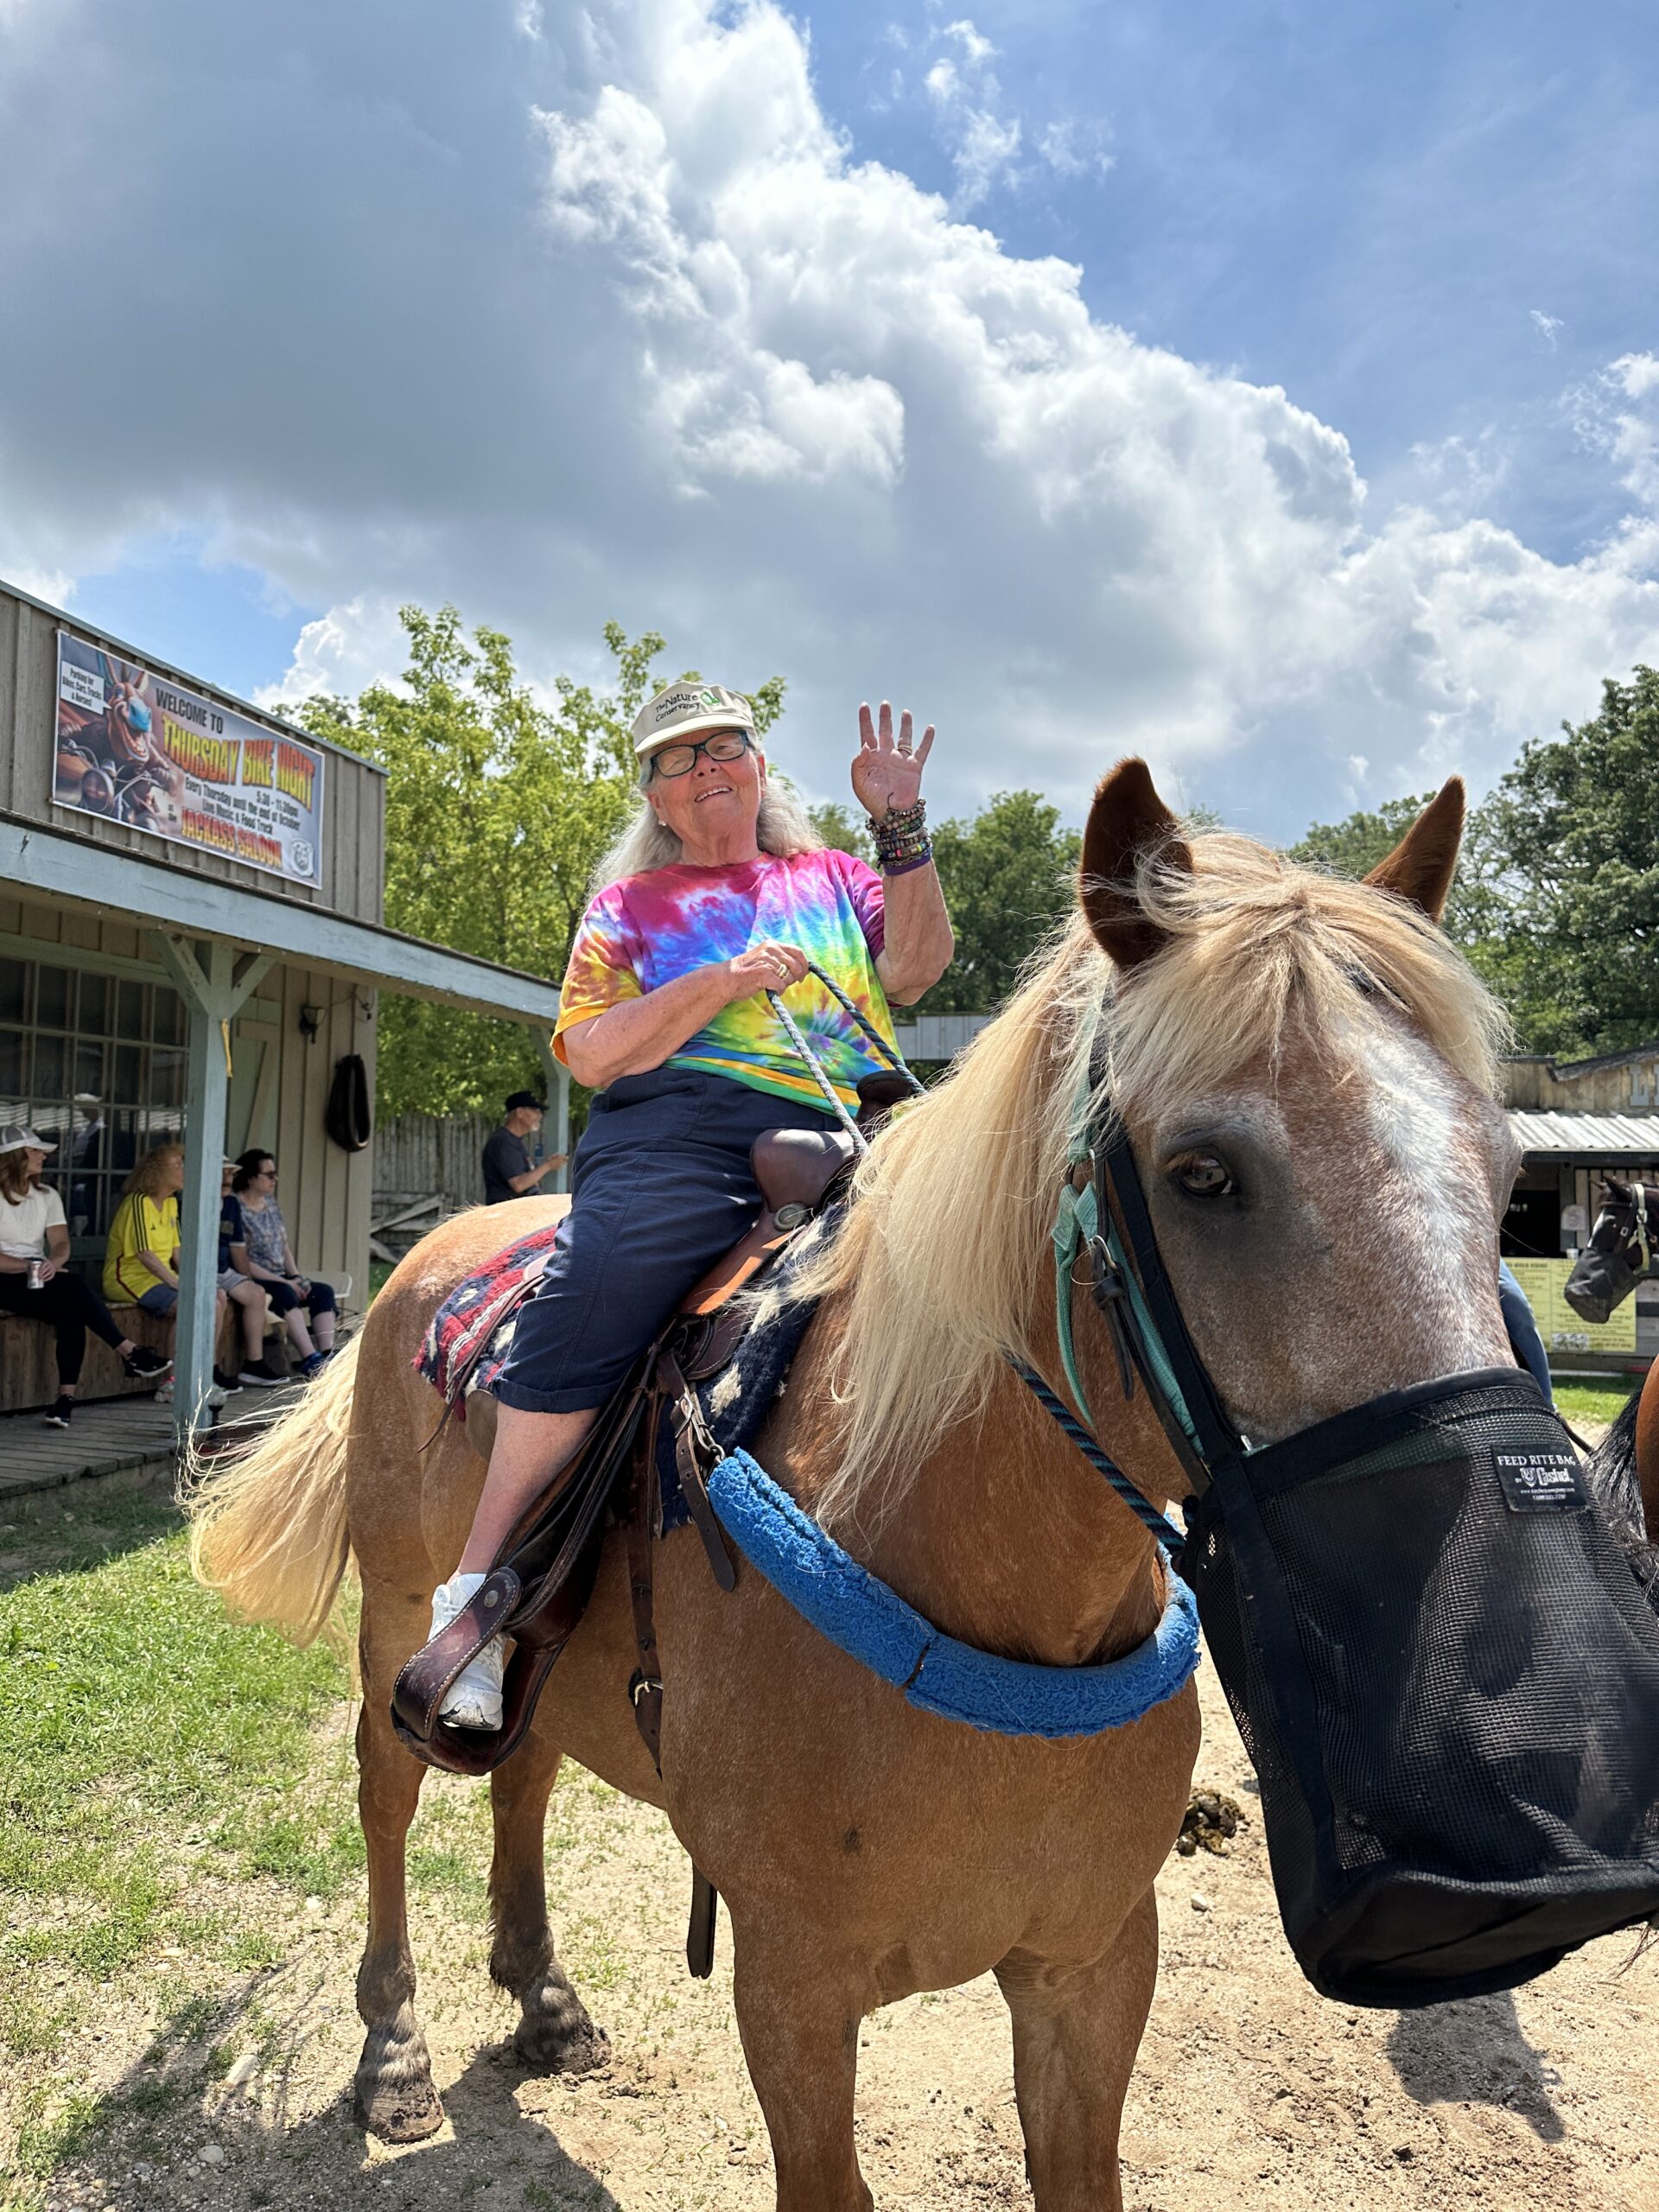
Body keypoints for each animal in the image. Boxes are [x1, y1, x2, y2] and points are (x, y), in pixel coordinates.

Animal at [187, 760, 1525, 2212]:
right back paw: (395, 2049)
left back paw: (544, 1998)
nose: (1458, 1581)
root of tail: (435, 1251)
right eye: (1202, 1173)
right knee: (387, 1786)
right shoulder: (792, 1989)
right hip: (396, 1614)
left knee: (526, 1767)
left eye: (1504, 1166)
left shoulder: (1094, 1966)